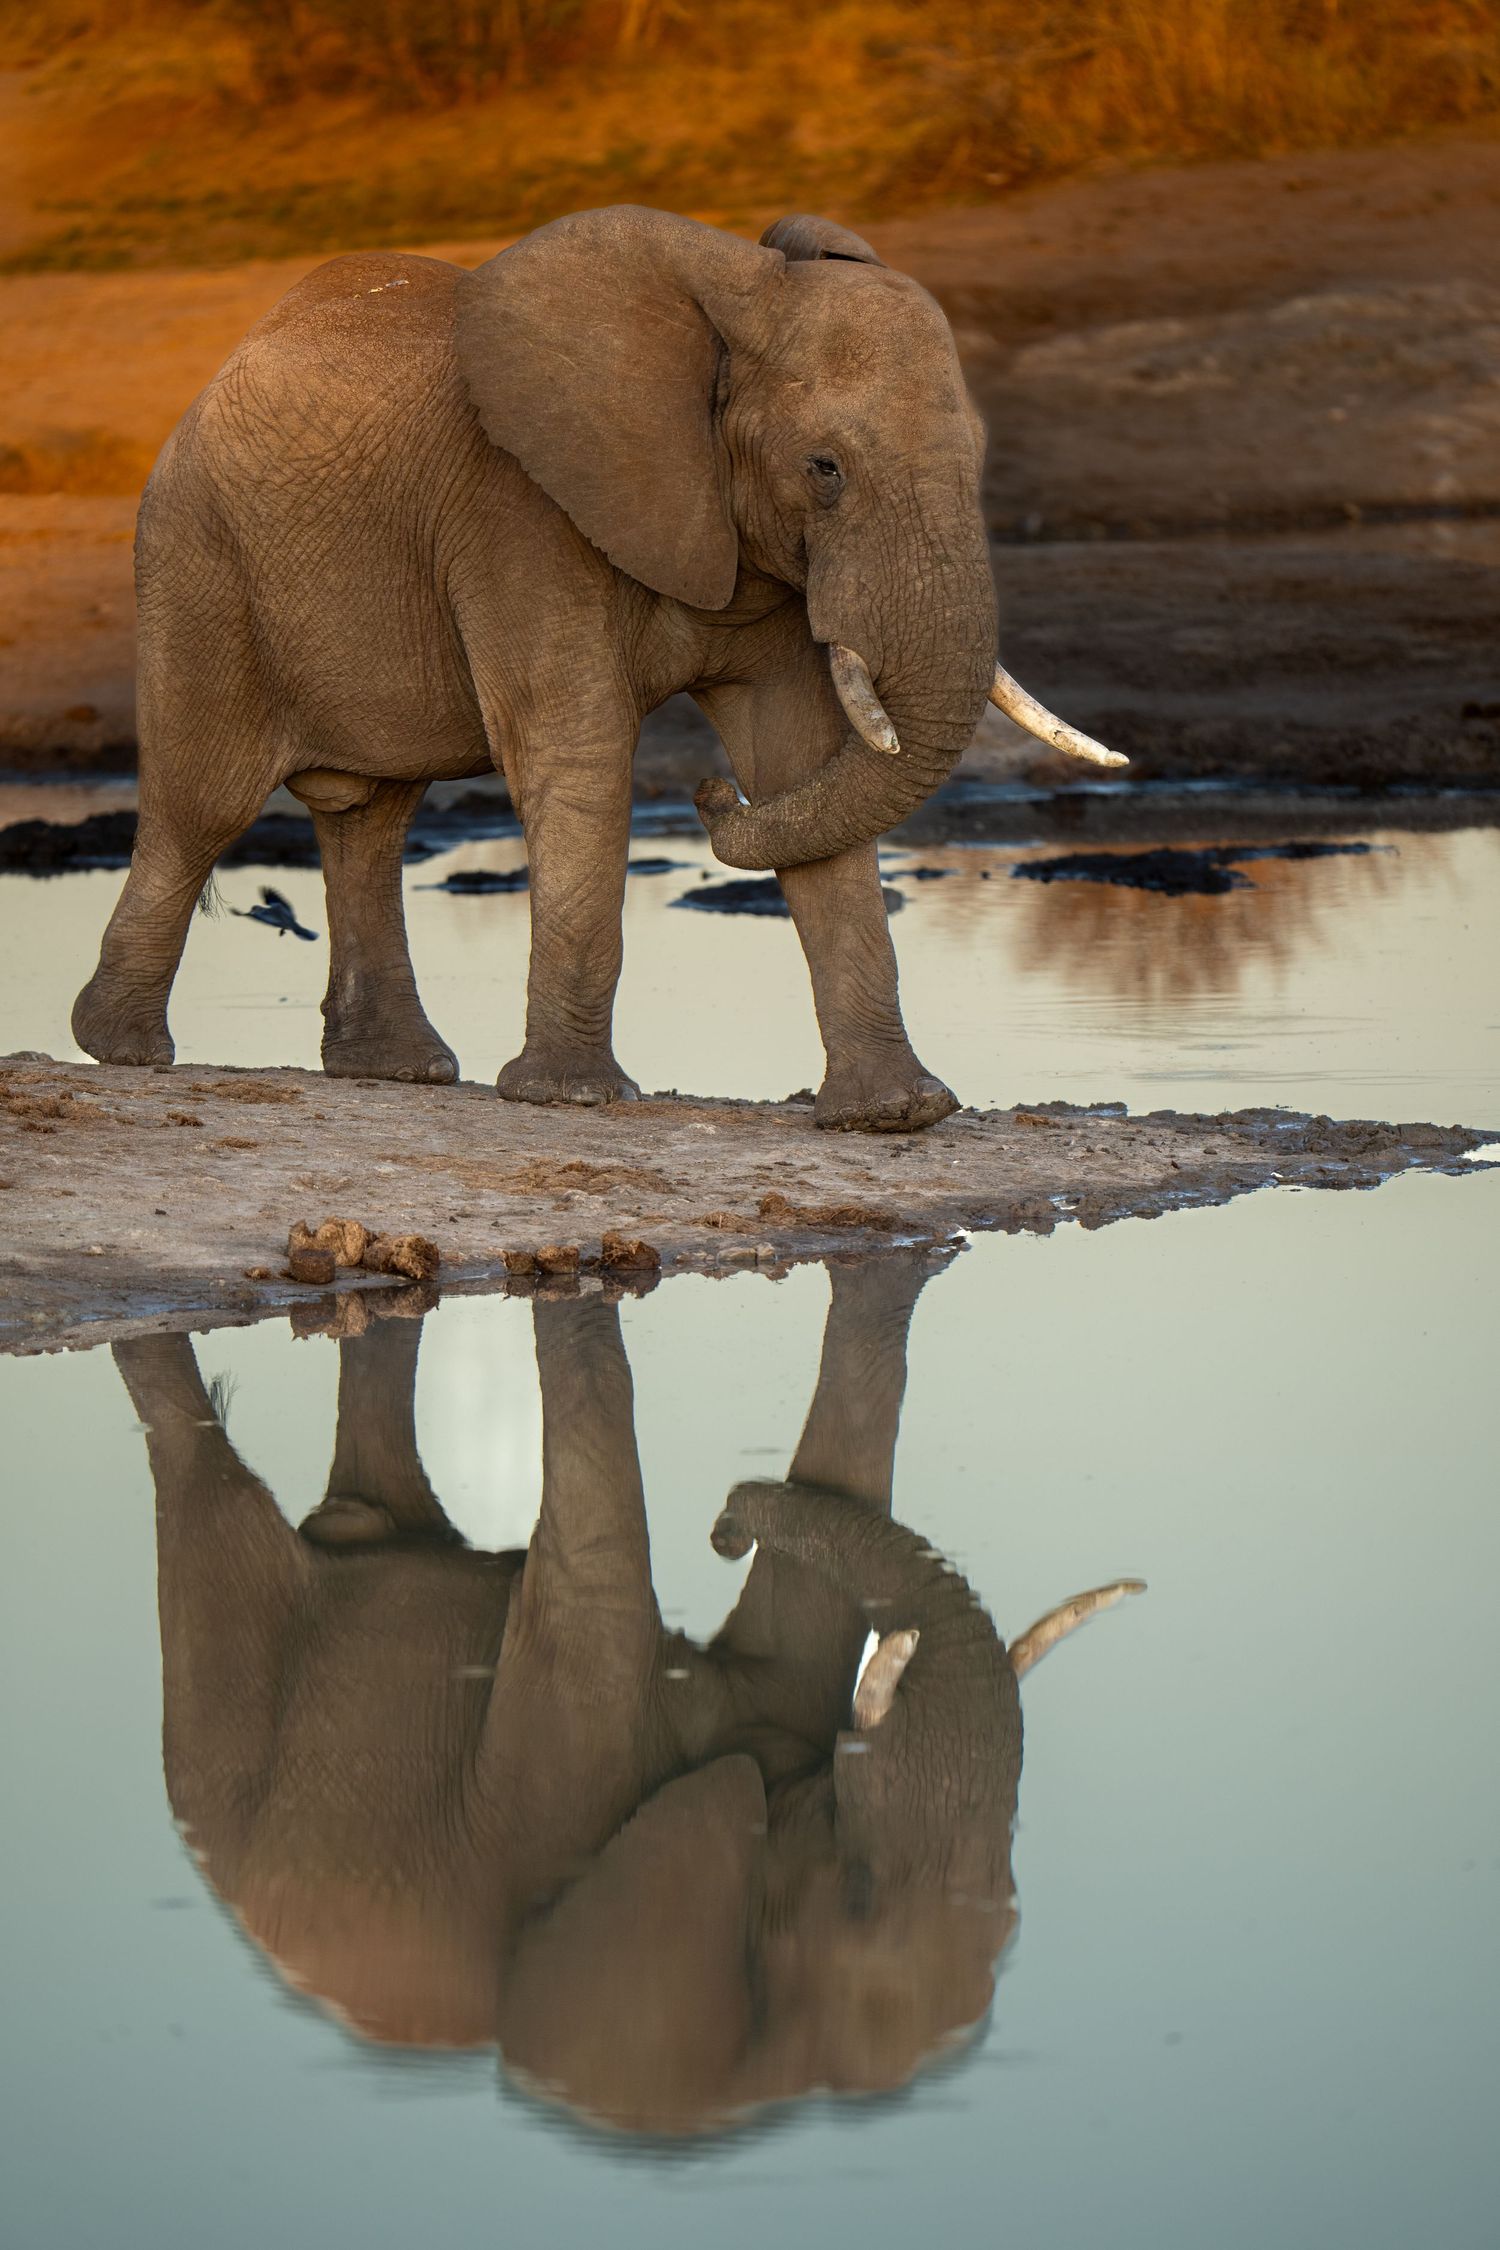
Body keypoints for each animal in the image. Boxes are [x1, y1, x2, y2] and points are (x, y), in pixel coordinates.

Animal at [73, 204, 1122, 1132]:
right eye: (825, 468)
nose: (707, 795)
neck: (720, 311)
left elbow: (798, 757)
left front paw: (896, 1117)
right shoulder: (519, 512)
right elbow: (581, 751)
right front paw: (570, 1099)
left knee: (371, 817)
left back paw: (396, 1071)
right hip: (197, 561)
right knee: (204, 804)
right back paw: (123, 1050)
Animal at [115, 1258, 1142, 2134]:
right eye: (854, 1891)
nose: (725, 1524)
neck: (777, 2082)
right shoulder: (563, 1765)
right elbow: (599, 1575)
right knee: (204, 1489)